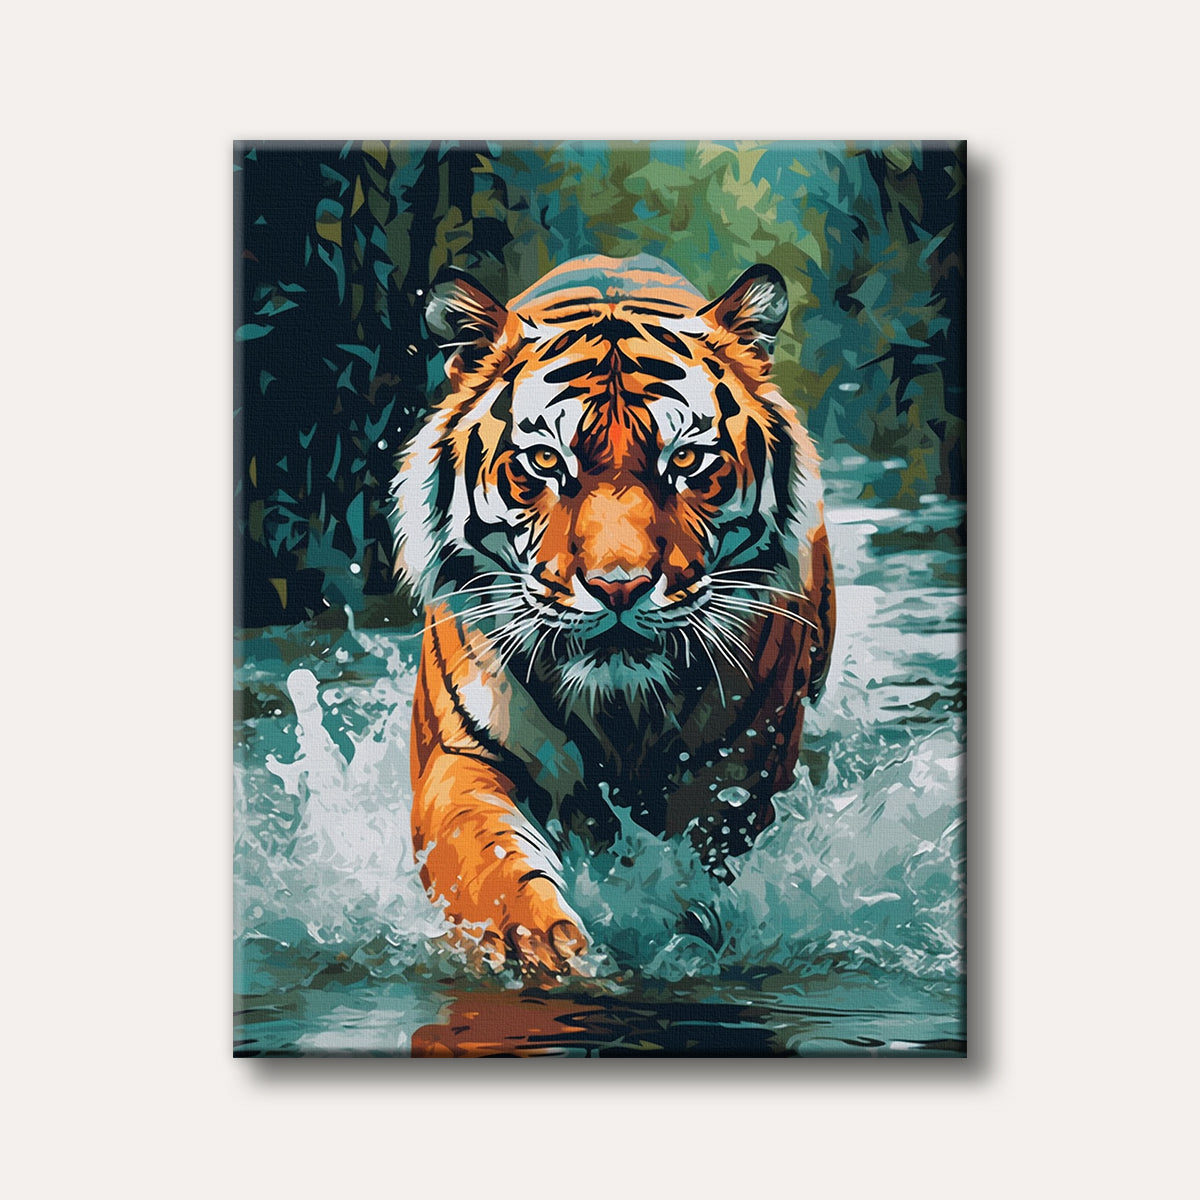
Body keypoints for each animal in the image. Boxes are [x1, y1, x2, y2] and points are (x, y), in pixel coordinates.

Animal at [390, 253, 835, 975]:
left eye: (687, 460)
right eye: (546, 461)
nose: (618, 587)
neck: (620, 711)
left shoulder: (733, 776)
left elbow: (690, 872)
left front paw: (681, 937)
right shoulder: (460, 757)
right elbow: (490, 857)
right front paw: (536, 944)